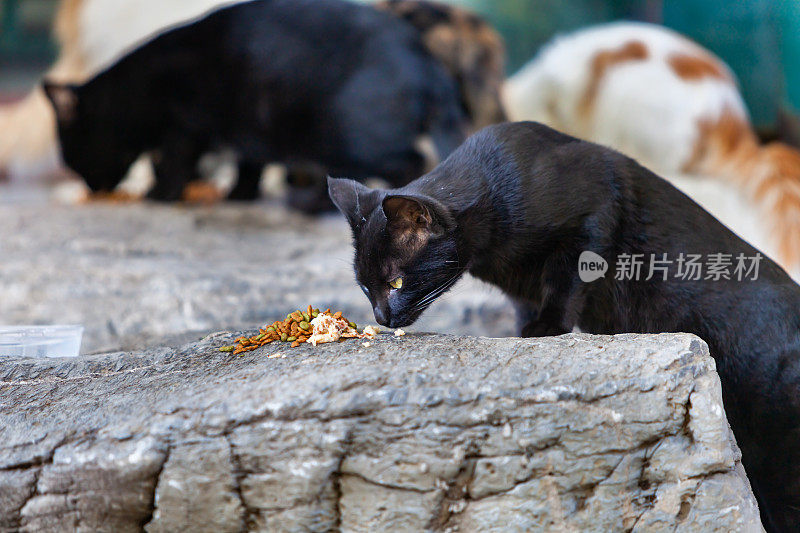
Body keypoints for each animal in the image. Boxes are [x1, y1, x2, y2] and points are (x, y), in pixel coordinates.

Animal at [43, 0, 466, 202]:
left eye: (71, 156)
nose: (92, 187)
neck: (134, 87)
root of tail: (426, 61)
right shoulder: (249, 126)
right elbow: (250, 164)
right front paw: (240, 195)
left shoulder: (186, 126)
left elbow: (176, 162)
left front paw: (161, 194)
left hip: (345, 139)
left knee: (411, 162)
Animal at [330, 121, 800, 532]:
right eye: (366, 287)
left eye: (395, 282)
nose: (381, 318)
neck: (492, 249)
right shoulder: (519, 284)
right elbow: (530, 301)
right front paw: (526, 329)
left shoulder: (592, 219)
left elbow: (567, 283)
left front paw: (545, 330)